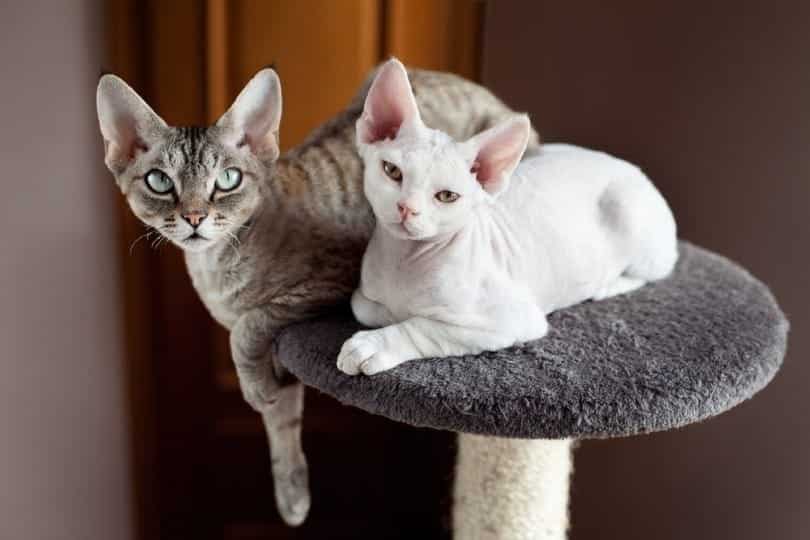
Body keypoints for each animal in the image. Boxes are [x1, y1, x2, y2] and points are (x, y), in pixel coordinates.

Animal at [96, 65, 536, 524]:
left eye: (228, 180)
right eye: (160, 182)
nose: (195, 217)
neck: (216, 268)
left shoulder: (330, 282)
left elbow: (250, 326)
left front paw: (252, 386)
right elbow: (281, 419)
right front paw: (291, 491)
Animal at [334, 60, 676, 376]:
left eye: (446, 197)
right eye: (392, 171)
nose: (407, 208)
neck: (403, 260)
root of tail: (632, 168)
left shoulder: (512, 320)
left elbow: (424, 326)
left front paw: (374, 343)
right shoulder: (364, 295)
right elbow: (365, 307)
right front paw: (392, 315)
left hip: (630, 214)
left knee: (651, 271)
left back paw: (607, 284)